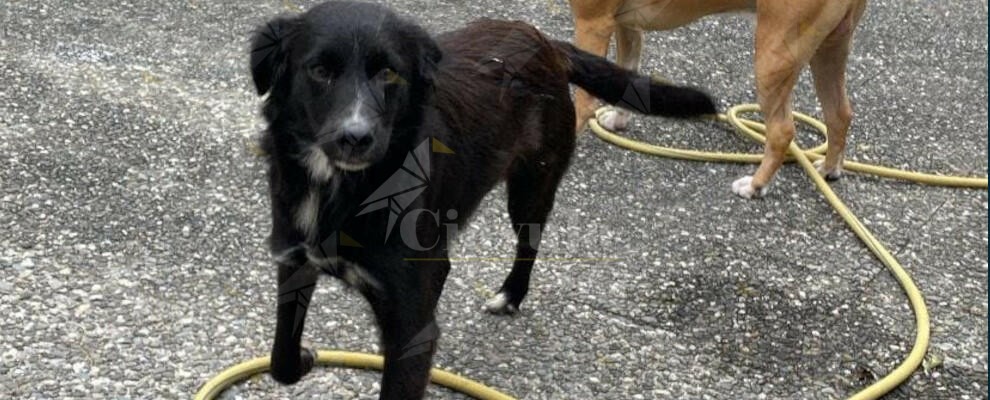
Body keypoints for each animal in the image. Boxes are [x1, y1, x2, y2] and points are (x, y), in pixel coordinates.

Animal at [247, 2, 712, 396]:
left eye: (389, 73)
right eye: (319, 70)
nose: (356, 137)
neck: (344, 187)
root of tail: (544, 39)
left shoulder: (409, 325)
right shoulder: (294, 261)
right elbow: (280, 358)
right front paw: (304, 358)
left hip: (531, 188)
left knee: (529, 243)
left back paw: (510, 295)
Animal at [572, 0, 868, 198]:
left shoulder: (594, 23)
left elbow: (583, 99)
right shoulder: (627, 25)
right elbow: (626, 82)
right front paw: (618, 119)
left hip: (773, 59)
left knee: (782, 131)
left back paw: (755, 185)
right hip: (829, 51)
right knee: (839, 114)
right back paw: (829, 168)